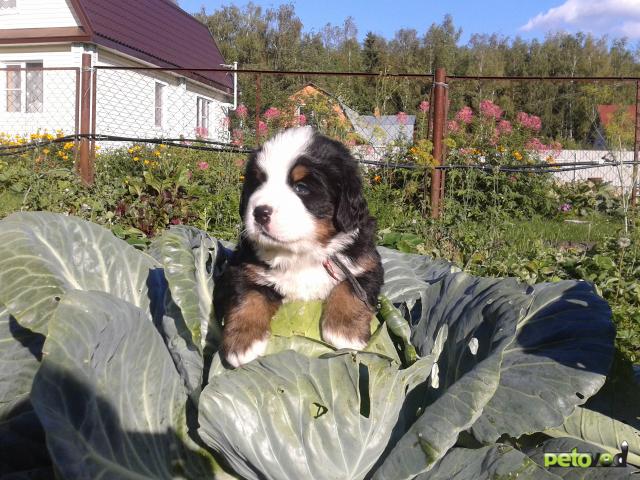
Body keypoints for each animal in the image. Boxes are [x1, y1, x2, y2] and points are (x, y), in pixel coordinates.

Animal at [215, 125, 384, 366]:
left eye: (301, 187)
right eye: (258, 183)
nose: (260, 212)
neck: (301, 253)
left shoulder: (366, 263)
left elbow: (350, 287)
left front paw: (345, 331)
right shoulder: (242, 267)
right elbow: (247, 297)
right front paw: (243, 343)